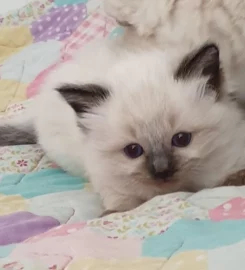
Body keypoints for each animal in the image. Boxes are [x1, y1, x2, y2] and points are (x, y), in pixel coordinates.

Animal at [0, 40, 245, 213]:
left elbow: (226, 178)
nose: (161, 171)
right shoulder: (112, 185)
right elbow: (122, 207)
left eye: (182, 139)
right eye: (133, 151)